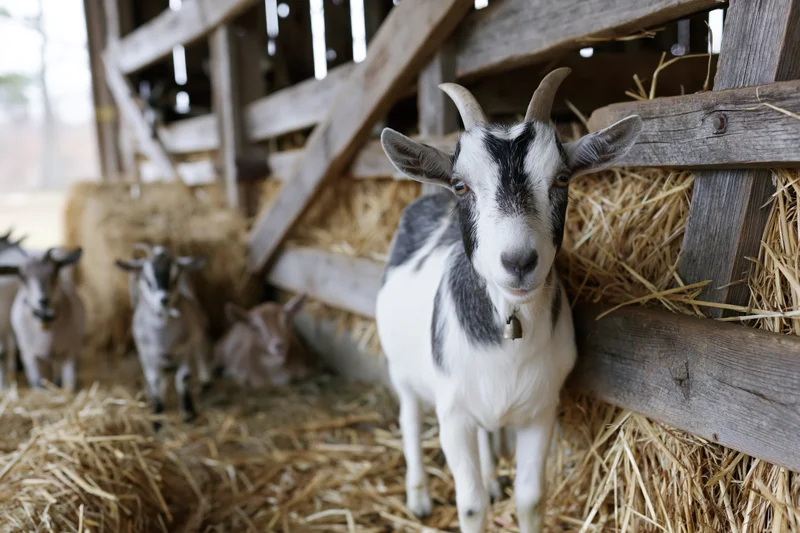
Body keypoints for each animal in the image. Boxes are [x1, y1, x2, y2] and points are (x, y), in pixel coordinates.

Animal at [0, 247, 86, 391]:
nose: (43, 300)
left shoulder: (70, 352)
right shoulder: (30, 356)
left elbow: (70, 384)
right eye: (23, 277)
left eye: (55, 271)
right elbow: (37, 384)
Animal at [115, 244, 211, 423]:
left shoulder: (184, 350)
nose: (164, 299)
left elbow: (183, 379)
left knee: (201, 351)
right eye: (148, 280)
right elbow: (155, 381)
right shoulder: (147, 354)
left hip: (198, 329)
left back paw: (206, 381)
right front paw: (157, 413)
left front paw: (188, 413)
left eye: (174, 279)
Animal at [376, 68, 642, 533]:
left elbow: (531, 499)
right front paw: (464, 498)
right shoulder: (453, 416)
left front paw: (505, 490)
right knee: (408, 419)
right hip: (402, 371)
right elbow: (470, 505)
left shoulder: (540, 410)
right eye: (461, 185)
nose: (518, 261)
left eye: (562, 178)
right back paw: (419, 497)